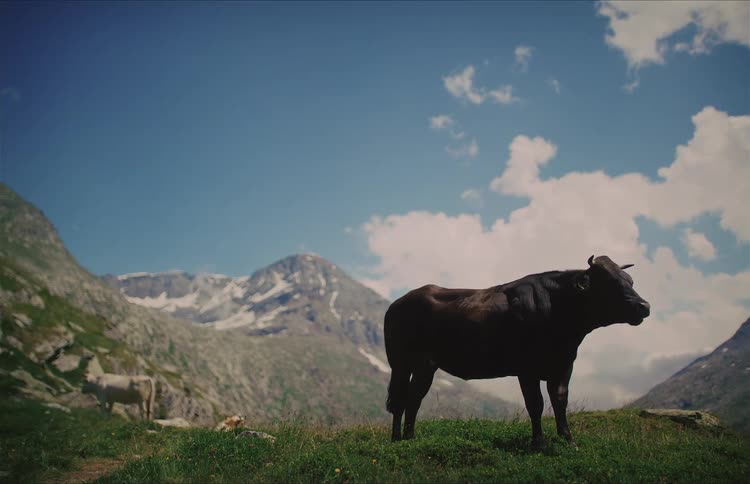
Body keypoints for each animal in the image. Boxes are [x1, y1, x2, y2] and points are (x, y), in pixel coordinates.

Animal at [384, 255, 650, 446]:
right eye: (609, 283)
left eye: (630, 280)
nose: (644, 306)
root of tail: (398, 302)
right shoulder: (527, 368)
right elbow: (536, 404)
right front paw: (539, 443)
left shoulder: (564, 364)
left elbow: (560, 400)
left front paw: (568, 440)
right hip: (409, 363)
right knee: (407, 398)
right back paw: (404, 439)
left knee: (407, 397)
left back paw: (401, 438)